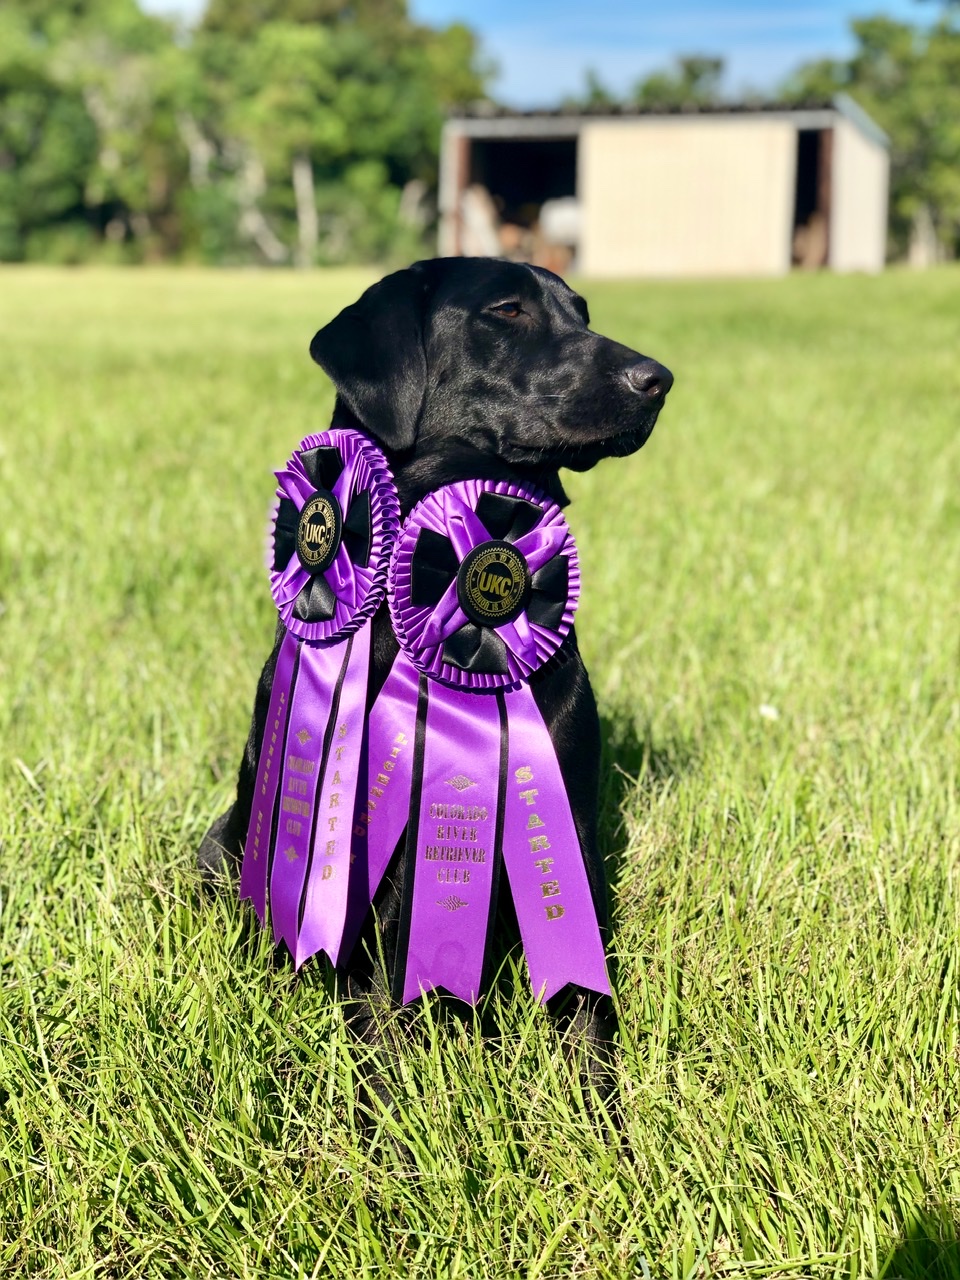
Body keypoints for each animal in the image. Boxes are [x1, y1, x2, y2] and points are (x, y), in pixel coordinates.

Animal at [199, 259, 670, 1080]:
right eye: (507, 310)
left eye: (581, 312)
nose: (660, 380)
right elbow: (382, 1015)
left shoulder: (569, 830)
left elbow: (585, 1002)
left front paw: (598, 1109)